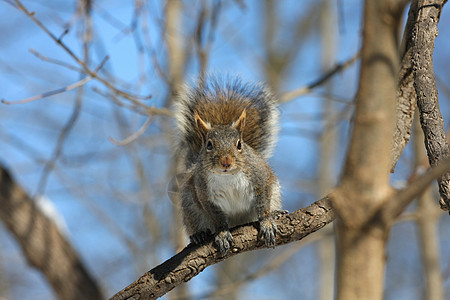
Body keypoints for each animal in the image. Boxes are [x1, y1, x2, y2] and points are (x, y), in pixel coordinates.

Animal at [175, 77, 282, 255]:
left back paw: (277, 213)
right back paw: (199, 234)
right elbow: (217, 218)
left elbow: (263, 204)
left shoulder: (260, 178)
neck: (227, 176)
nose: (226, 162)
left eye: (239, 144)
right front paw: (223, 234)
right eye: (209, 145)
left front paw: (267, 223)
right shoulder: (205, 195)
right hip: (190, 206)